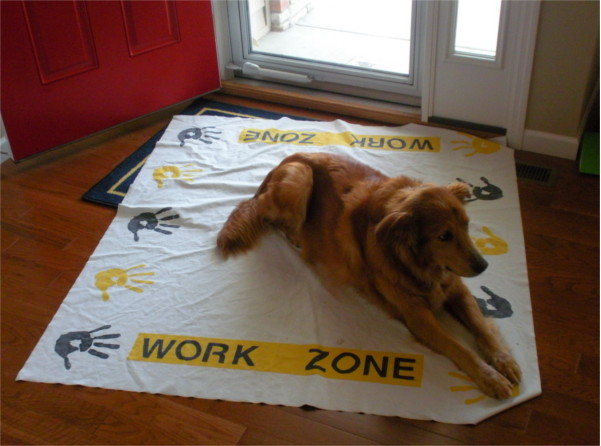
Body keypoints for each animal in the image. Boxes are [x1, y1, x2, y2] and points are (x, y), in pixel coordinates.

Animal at [217, 152, 520, 398]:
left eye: (467, 226)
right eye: (444, 236)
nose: (483, 266)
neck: (418, 264)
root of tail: (278, 166)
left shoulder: (457, 289)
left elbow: (481, 326)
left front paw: (503, 360)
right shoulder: (418, 317)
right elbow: (461, 347)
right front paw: (490, 377)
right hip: (300, 177)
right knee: (273, 218)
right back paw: (298, 237)